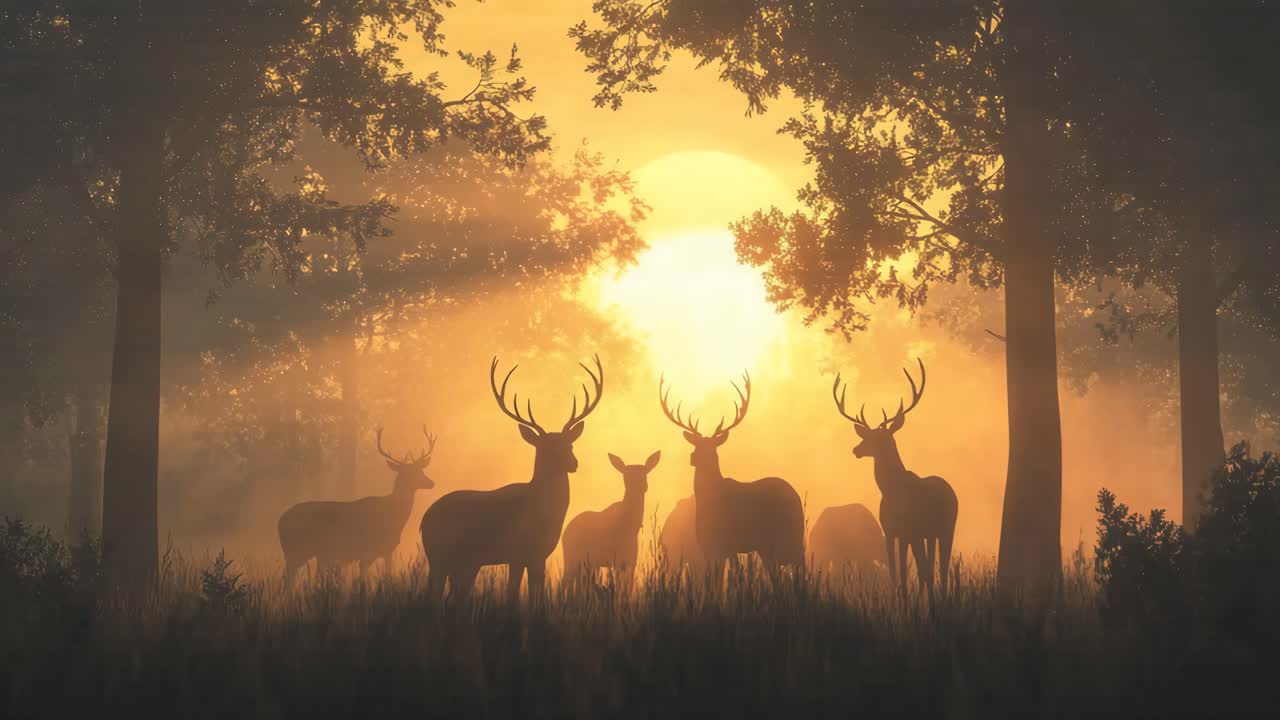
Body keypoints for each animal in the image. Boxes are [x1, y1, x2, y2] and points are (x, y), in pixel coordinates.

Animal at [278, 427, 437, 583]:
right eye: (407, 473)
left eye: (421, 470)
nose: (431, 482)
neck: (393, 517)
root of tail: (280, 521)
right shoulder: (368, 551)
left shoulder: (386, 551)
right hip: (295, 550)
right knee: (289, 578)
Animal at [420, 354, 603, 602]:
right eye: (546, 448)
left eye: (570, 444)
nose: (573, 463)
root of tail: (423, 520)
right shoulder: (518, 553)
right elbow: (515, 594)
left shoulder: (537, 555)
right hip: (439, 555)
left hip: (464, 561)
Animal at [561, 450, 660, 591]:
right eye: (625, 477)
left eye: (645, 473)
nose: (639, 485)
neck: (629, 528)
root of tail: (564, 533)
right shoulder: (615, 560)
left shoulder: (630, 562)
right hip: (572, 559)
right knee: (565, 582)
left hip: (589, 564)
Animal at [659, 371, 805, 584]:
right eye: (696, 446)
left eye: (712, 450)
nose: (693, 457)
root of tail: (795, 497)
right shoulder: (717, 548)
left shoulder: (720, 543)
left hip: (773, 538)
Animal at [831, 358, 958, 593]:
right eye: (868, 435)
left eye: (878, 437)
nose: (856, 449)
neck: (891, 489)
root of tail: (951, 493)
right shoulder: (896, 532)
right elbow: (899, 575)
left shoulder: (902, 531)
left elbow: (908, 574)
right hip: (934, 533)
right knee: (935, 569)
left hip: (941, 528)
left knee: (937, 570)